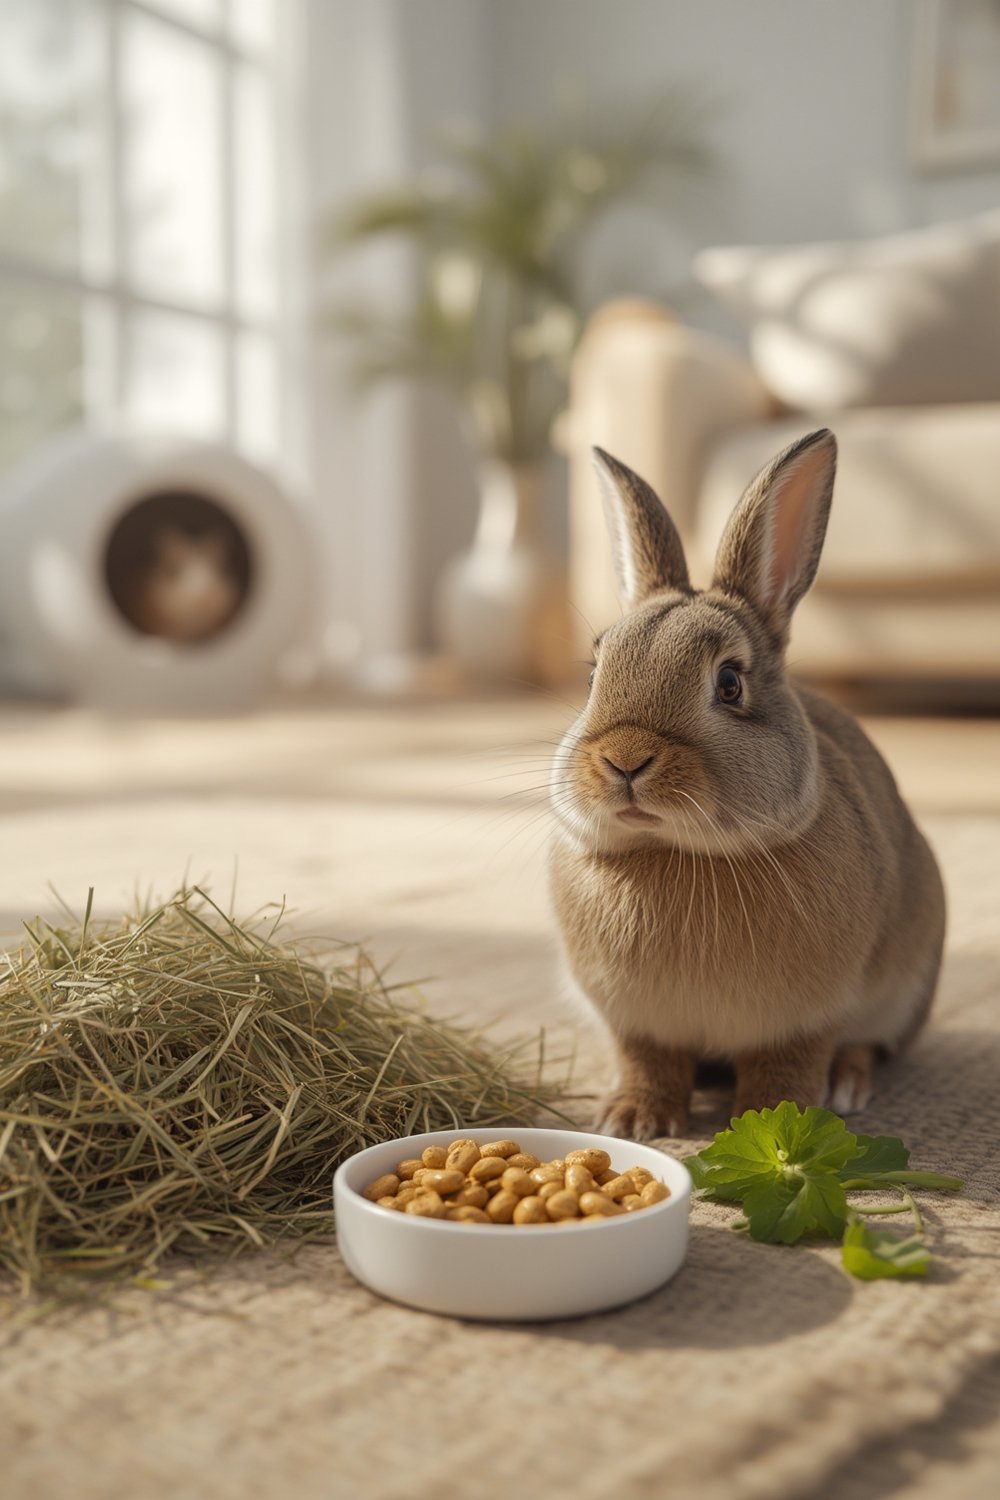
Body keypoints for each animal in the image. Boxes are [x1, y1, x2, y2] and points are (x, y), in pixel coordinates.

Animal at [549, 428, 945, 1138]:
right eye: (594, 675)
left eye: (730, 683)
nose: (625, 761)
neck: (676, 853)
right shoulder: (636, 1021)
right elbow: (647, 1061)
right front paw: (632, 1121)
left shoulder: (802, 1021)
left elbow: (786, 1068)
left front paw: (774, 1120)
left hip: (905, 987)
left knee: (871, 1043)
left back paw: (847, 1085)